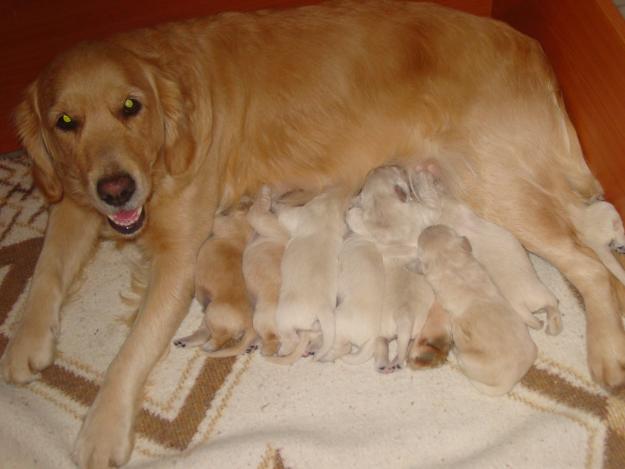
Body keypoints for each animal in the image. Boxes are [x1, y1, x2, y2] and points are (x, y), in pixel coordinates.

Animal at [172, 203, 255, 356]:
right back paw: (185, 342)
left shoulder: (221, 224)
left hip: (212, 313)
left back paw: (208, 347)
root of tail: (249, 323)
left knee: (219, 340)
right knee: (206, 334)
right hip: (209, 317)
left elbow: (216, 218)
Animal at [272, 186, 354, 362]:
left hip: (283, 317)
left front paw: (274, 204)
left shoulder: (299, 213)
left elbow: (283, 214)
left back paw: (283, 349)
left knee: (292, 338)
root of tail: (321, 307)